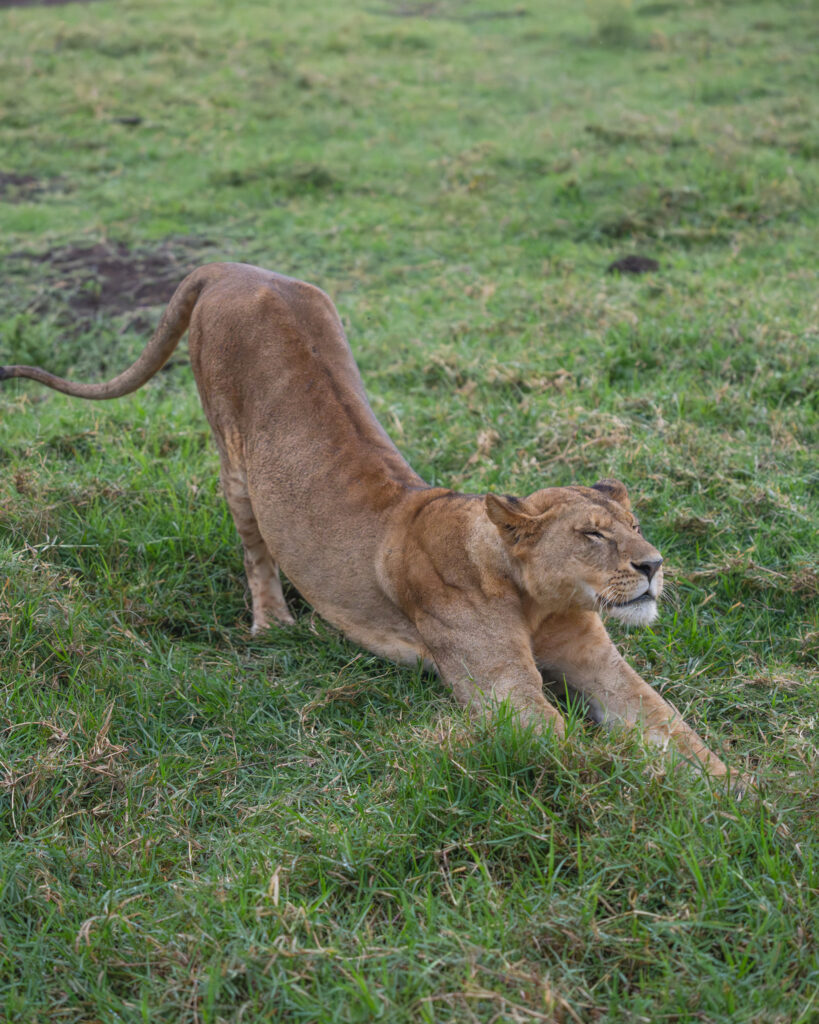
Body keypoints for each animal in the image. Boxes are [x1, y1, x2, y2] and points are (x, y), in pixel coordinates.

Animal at [1, 262, 743, 787]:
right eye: (592, 534)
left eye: (632, 525)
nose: (653, 565)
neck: (537, 600)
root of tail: (232, 265)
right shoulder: (500, 692)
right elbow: (586, 759)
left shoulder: (600, 664)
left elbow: (672, 727)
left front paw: (738, 794)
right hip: (235, 461)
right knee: (256, 550)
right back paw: (274, 624)